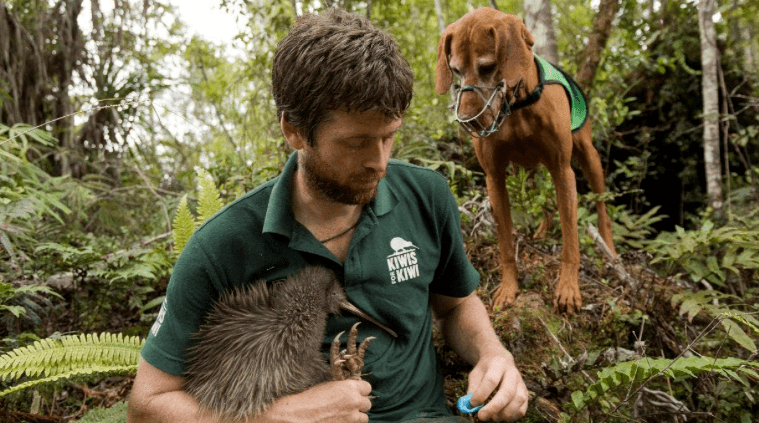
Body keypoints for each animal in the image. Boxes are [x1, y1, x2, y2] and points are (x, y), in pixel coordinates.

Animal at [434, 7, 616, 314]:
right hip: (531, 170)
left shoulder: (562, 169)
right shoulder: (494, 178)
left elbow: (570, 240)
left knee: (601, 208)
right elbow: (505, 244)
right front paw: (509, 288)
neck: (516, 106)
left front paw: (569, 289)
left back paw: (610, 250)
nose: (469, 122)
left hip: (588, 158)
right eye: (456, 70)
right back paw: (541, 231)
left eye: (487, 67)